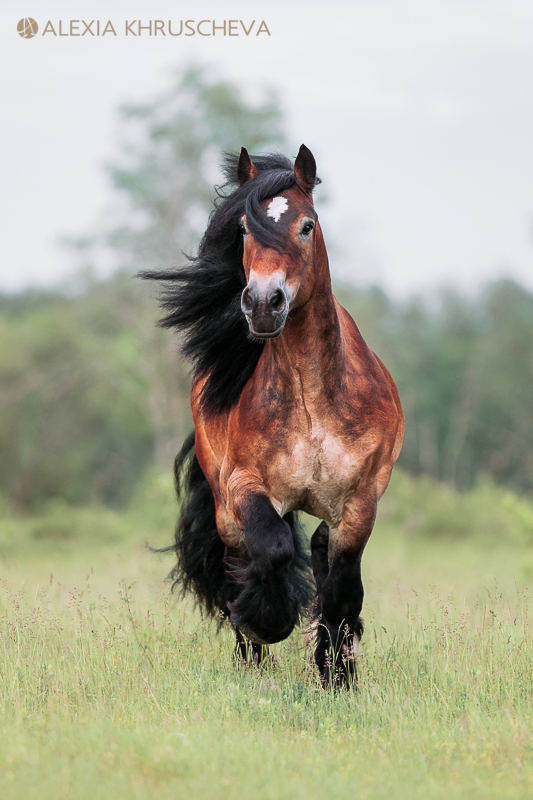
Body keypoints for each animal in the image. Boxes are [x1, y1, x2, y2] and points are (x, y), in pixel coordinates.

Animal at [143, 145, 402, 688]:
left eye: (307, 225)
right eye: (244, 228)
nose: (264, 303)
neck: (312, 398)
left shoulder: (359, 502)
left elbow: (343, 589)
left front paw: (336, 676)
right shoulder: (247, 487)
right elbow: (275, 549)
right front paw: (268, 621)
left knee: (322, 556)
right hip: (226, 511)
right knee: (238, 564)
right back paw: (252, 658)